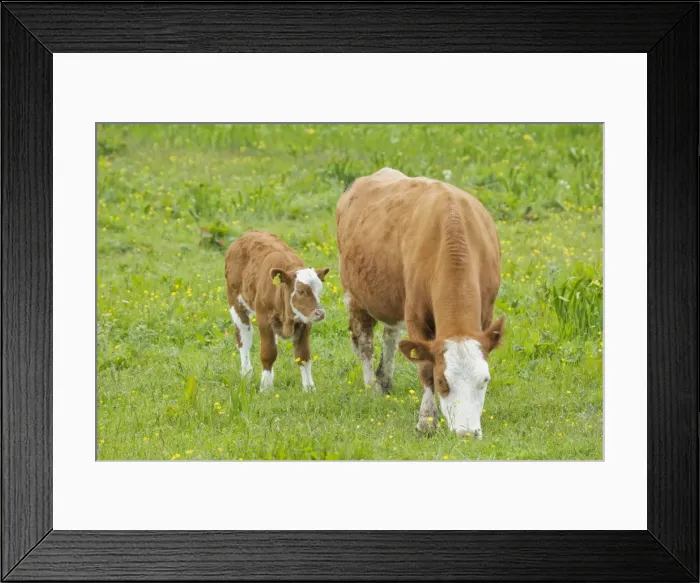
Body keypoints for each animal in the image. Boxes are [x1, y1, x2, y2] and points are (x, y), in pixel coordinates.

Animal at [225, 231, 329, 392]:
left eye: (320, 290)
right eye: (301, 291)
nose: (320, 313)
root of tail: (248, 234)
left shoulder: (305, 323)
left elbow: (303, 356)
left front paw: (309, 388)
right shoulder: (264, 320)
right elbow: (268, 353)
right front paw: (265, 388)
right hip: (236, 304)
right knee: (244, 338)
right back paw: (246, 374)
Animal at [335, 168, 505, 438]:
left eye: (485, 380)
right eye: (442, 381)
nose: (467, 434)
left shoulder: (486, 314)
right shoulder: (416, 315)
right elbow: (424, 368)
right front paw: (427, 420)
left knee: (390, 336)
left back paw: (385, 379)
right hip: (354, 294)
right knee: (364, 343)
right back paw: (372, 386)